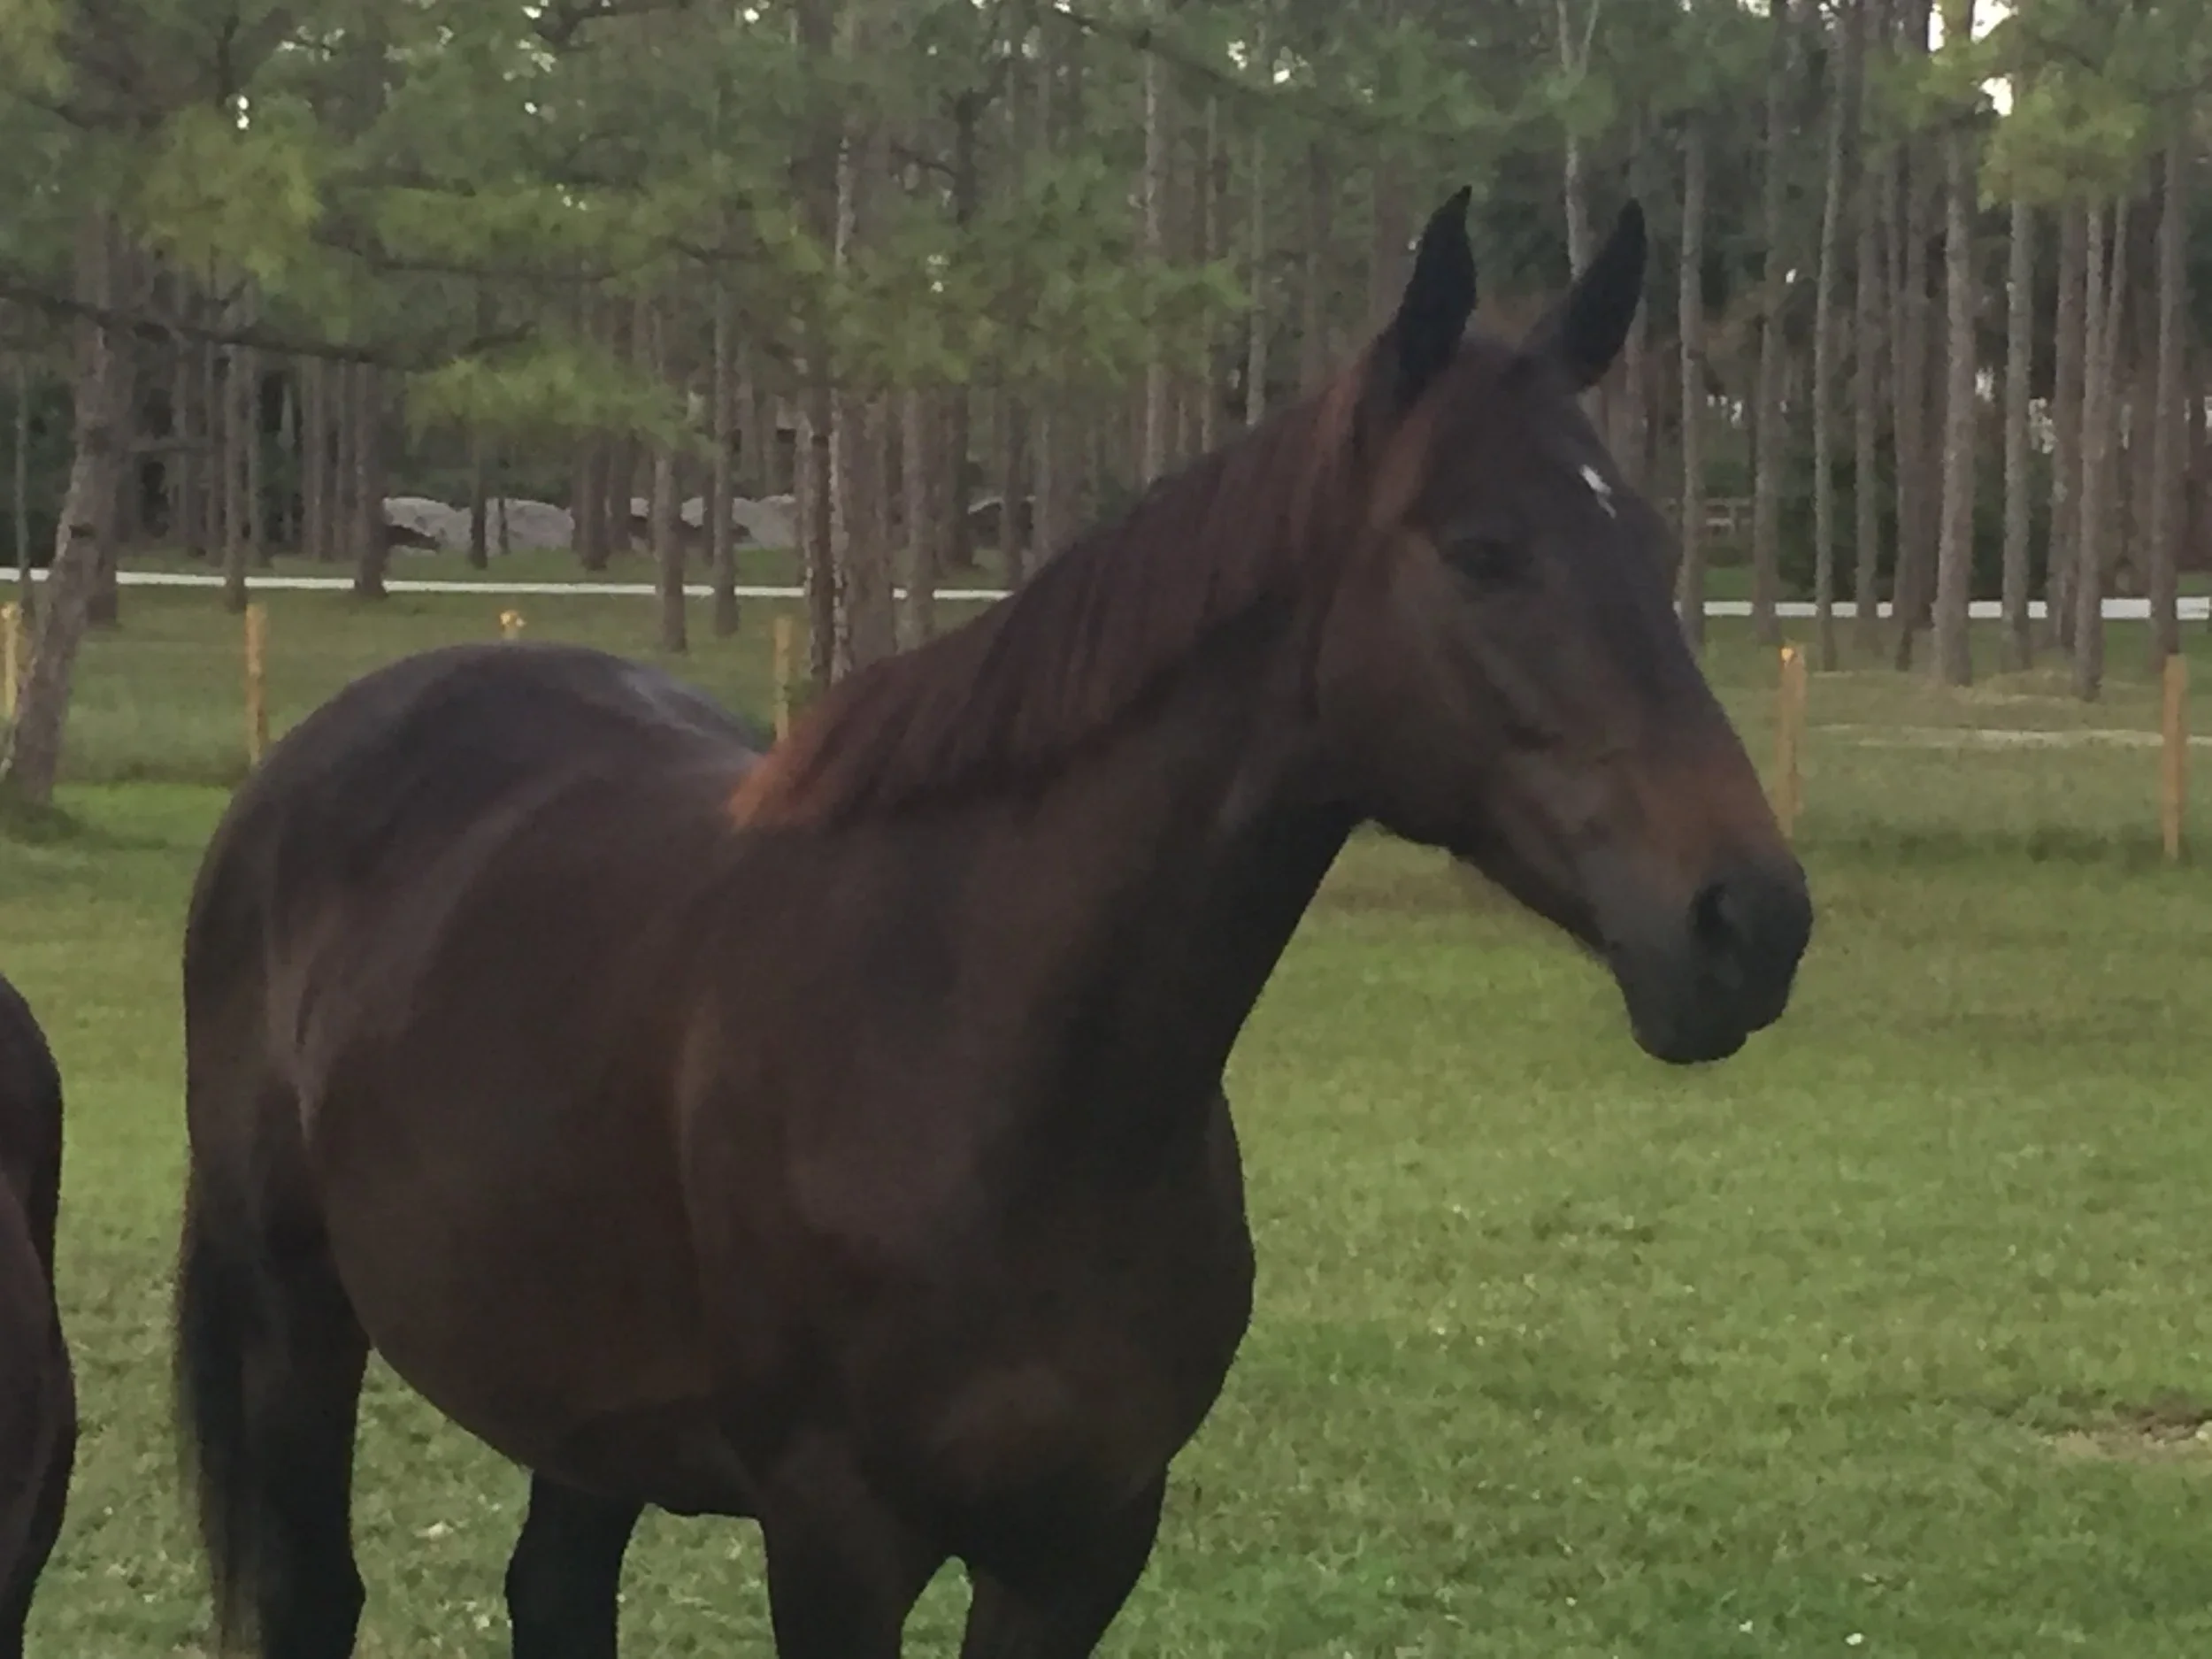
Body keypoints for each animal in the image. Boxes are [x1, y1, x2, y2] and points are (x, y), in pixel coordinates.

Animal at [171, 189, 1812, 1659]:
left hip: (577, 1394)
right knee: (310, 1599)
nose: (1752, 920)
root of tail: (311, 769)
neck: (986, 1054)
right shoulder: (837, 1541)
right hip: (295, 1319)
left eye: (1658, 540)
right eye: (1482, 549)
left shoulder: (1079, 1544)